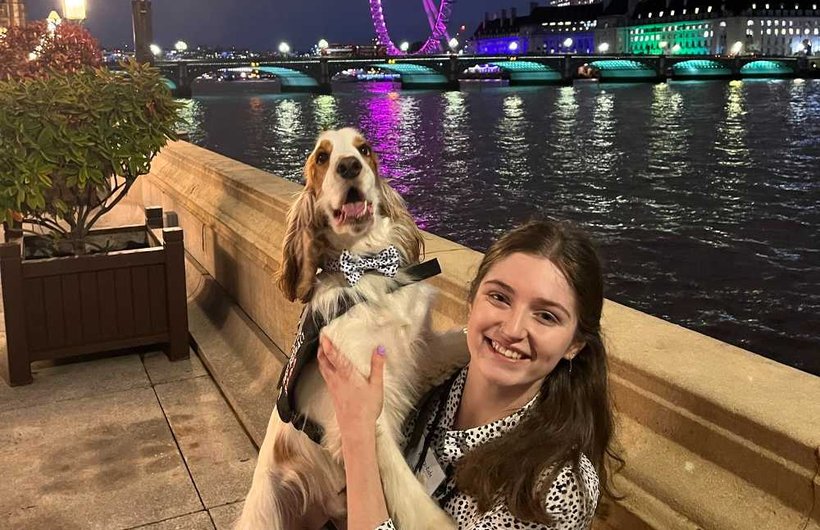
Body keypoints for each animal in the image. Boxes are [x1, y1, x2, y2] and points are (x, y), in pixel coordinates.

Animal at [237, 128, 468, 528]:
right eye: (322, 158)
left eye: (365, 149)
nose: (349, 166)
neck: (366, 267)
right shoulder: (365, 408)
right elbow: (414, 500)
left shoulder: (421, 353)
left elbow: (464, 340)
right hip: (265, 509)